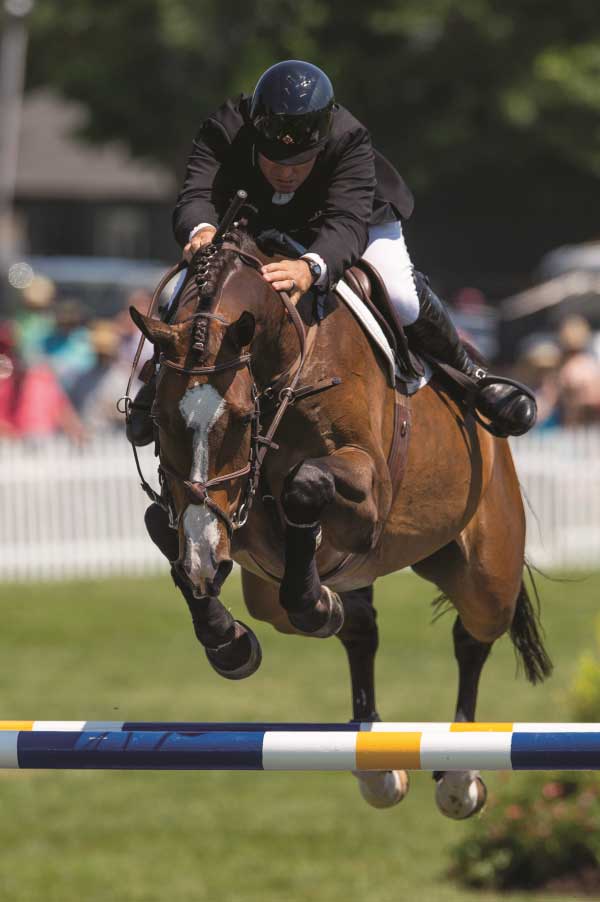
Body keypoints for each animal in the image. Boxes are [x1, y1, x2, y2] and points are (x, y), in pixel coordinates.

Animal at [129, 224, 552, 820]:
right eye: (161, 418)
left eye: (239, 419)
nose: (208, 555)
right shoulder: (215, 514)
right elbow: (164, 526)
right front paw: (229, 640)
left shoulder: (367, 491)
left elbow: (305, 486)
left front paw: (309, 602)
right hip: (275, 593)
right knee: (359, 628)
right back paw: (373, 757)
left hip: (486, 569)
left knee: (472, 635)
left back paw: (458, 775)